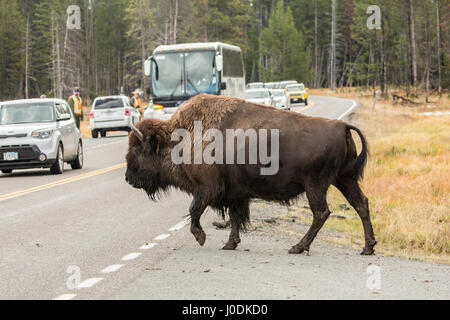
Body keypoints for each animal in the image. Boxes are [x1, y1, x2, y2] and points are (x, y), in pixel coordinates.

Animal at [125, 94, 376, 256]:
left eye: (137, 149)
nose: (128, 178)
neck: (182, 137)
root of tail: (341, 126)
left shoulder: (207, 189)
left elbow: (194, 210)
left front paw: (201, 237)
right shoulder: (235, 193)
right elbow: (235, 217)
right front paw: (230, 244)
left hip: (316, 184)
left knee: (321, 212)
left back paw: (297, 247)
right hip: (344, 179)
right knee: (361, 204)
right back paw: (368, 247)